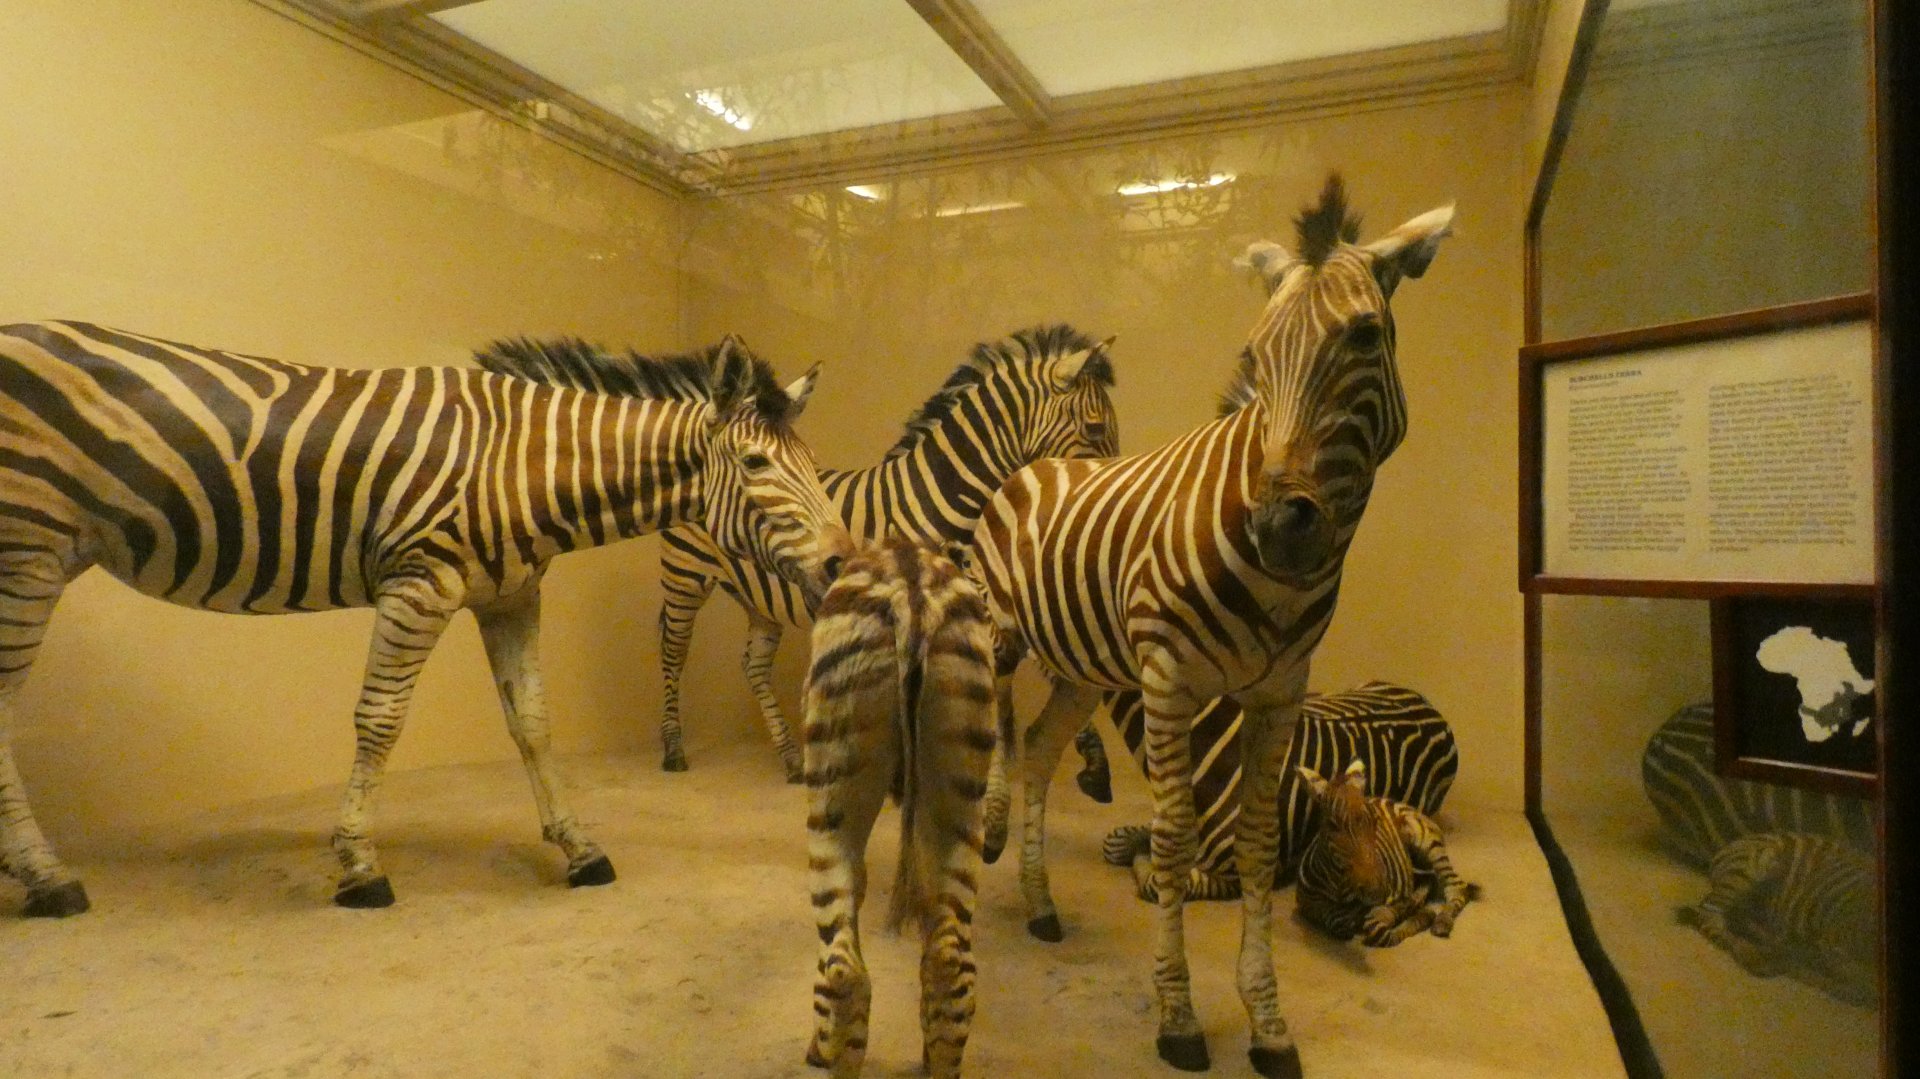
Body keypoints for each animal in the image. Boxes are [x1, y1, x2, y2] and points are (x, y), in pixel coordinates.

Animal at [0, 321, 849, 916]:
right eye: (758, 465)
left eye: (814, 467)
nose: (844, 564)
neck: (521, 465)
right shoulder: (418, 583)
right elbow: (380, 718)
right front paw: (358, 865)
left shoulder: (510, 595)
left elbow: (534, 722)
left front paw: (579, 848)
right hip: (28, 550)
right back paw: (48, 880)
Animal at [656, 325, 1118, 780]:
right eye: (1096, 430)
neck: (939, 501)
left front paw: (1092, 754)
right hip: (685, 578)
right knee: (673, 650)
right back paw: (674, 749)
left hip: (758, 599)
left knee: (752, 665)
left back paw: (791, 758)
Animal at [802, 536, 997, 1079]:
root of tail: (910, 585)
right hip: (960, 802)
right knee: (950, 965)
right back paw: (938, 1065)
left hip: (830, 811)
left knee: (841, 971)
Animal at [1291, 758, 1478, 947]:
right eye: (1332, 826)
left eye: (1375, 821)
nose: (1377, 890)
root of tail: (1394, 801)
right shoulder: (1313, 908)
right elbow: (1339, 924)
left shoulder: (1388, 900)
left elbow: (1377, 929)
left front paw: (1419, 914)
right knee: (1430, 879)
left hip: (1428, 843)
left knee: (1456, 887)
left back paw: (1441, 921)